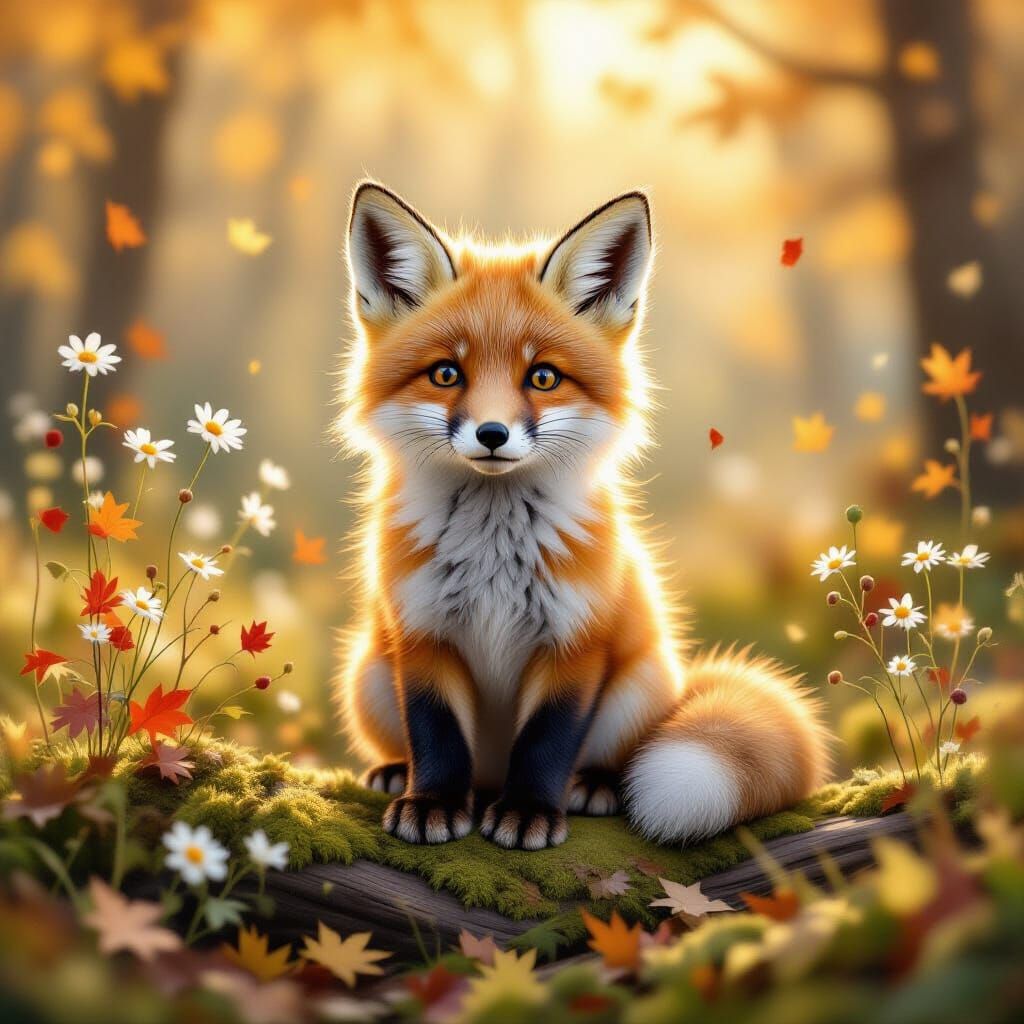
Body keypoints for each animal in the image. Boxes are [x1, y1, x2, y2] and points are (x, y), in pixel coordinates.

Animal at [334, 182, 829, 851]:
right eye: (446, 373)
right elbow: (436, 736)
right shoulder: (420, 632)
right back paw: (397, 773)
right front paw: (431, 802)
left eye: (543, 376)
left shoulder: (576, 640)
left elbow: (546, 742)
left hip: (638, 689)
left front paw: (528, 813)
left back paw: (591, 786)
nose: (492, 434)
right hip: (367, 675)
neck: (494, 557)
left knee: (606, 757)